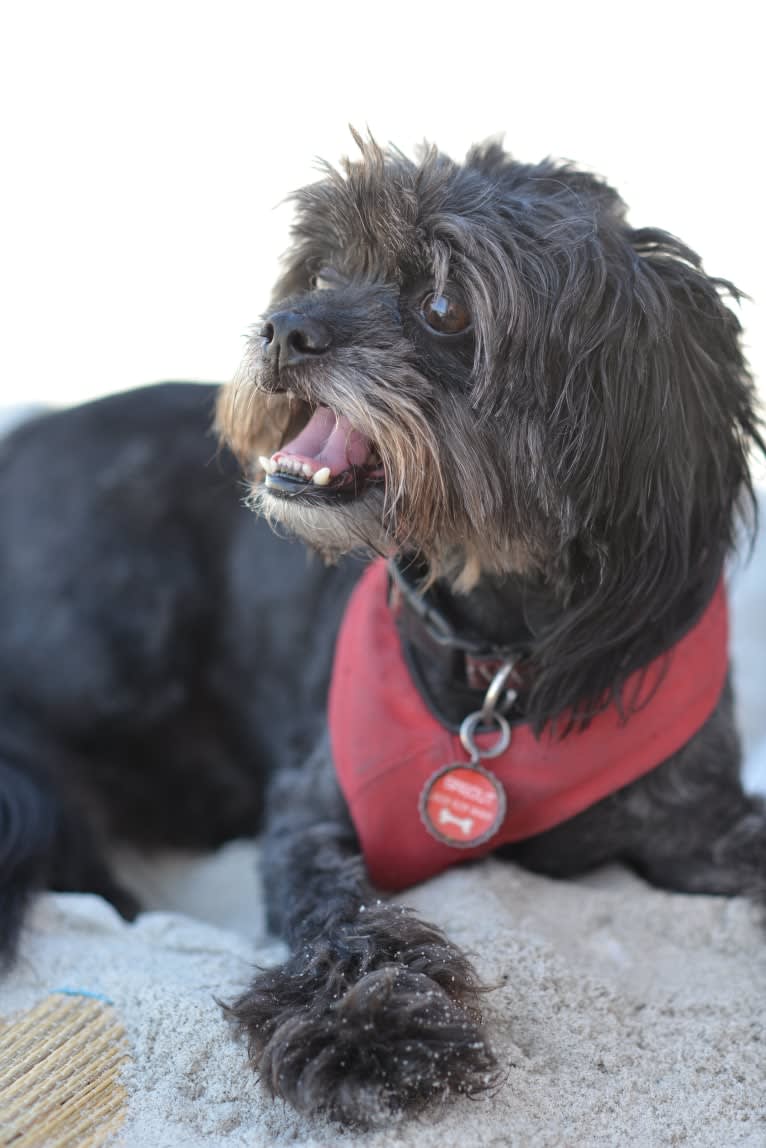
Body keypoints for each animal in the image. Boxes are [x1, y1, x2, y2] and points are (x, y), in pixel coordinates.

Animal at [0, 136, 762, 1129]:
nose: (281, 327)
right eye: (325, 271)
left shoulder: (701, 824)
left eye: (443, 303)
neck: (501, 654)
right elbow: (342, 912)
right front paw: (368, 1027)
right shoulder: (312, 806)